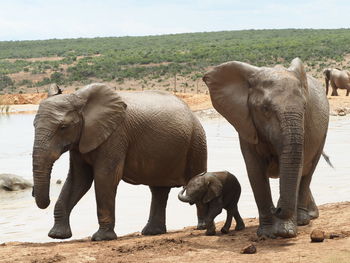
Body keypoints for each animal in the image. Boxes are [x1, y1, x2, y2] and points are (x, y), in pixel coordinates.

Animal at [31, 83, 206, 242]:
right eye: (33, 125)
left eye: (63, 127)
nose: (36, 195)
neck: (79, 98)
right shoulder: (81, 141)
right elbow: (78, 180)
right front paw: (57, 236)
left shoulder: (115, 135)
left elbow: (104, 178)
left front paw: (101, 238)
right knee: (158, 190)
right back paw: (152, 232)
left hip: (197, 142)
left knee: (194, 182)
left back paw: (202, 227)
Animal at [204, 58, 330, 240]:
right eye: (265, 109)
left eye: (305, 107)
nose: (277, 209)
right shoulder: (246, 123)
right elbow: (255, 171)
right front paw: (266, 234)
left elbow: (298, 166)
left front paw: (285, 232)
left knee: (308, 172)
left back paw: (303, 220)